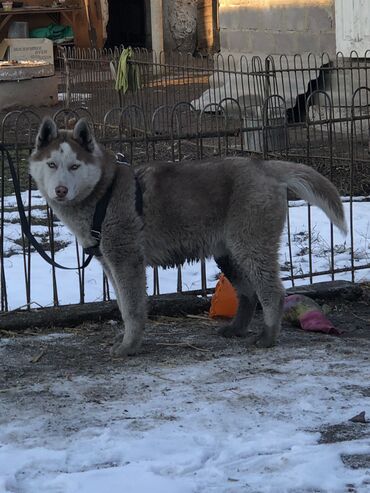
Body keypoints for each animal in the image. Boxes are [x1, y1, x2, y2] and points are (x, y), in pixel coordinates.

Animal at [28, 118, 346, 358]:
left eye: (75, 166)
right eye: (52, 164)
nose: (60, 191)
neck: (103, 191)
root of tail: (265, 167)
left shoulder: (126, 260)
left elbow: (131, 308)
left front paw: (129, 346)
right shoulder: (110, 262)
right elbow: (121, 304)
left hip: (252, 245)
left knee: (272, 292)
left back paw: (267, 337)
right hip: (228, 253)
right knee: (248, 293)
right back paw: (236, 329)